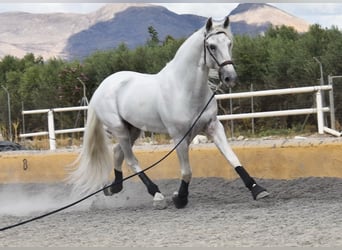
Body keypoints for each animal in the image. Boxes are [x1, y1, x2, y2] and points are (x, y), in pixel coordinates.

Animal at [70, 17, 270, 209]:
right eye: (211, 46)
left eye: (229, 43)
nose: (230, 78)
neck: (185, 89)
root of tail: (102, 87)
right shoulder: (178, 135)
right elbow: (187, 171)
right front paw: (180, 198)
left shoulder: (213, 127)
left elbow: (232, 158)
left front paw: (258, 190)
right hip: (119, 129)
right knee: (131, 160)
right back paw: (156, 195)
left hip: (133, 129)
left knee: (118, 152)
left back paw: (113, 188)